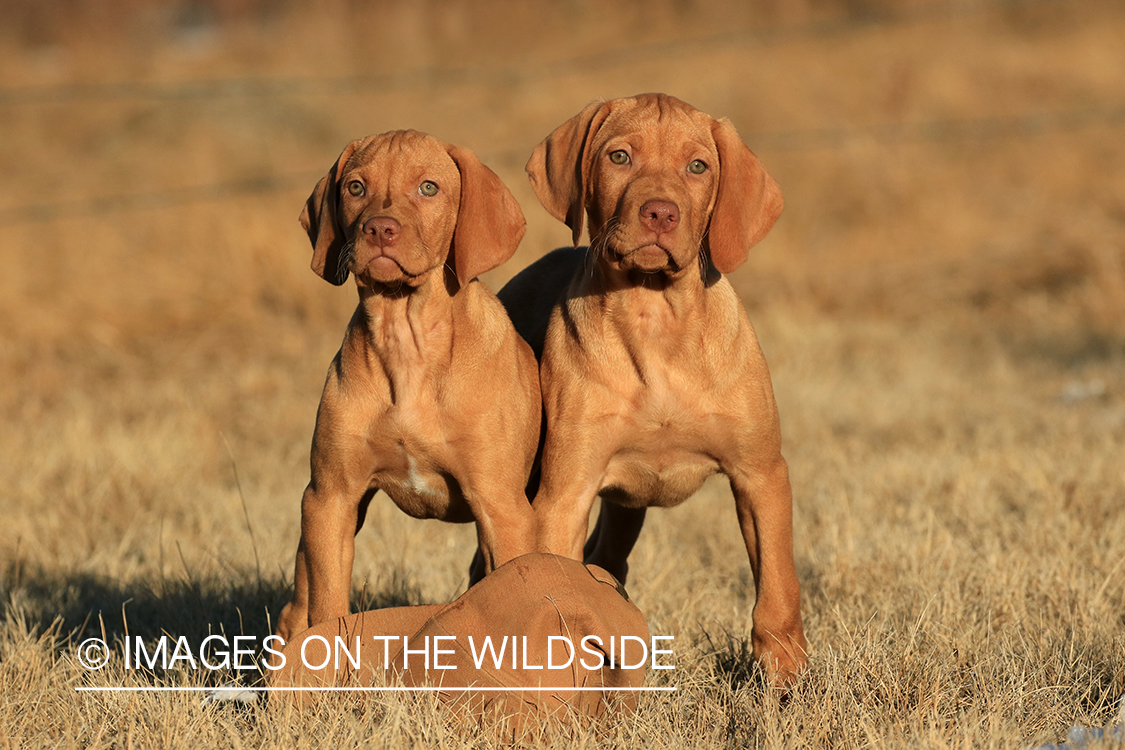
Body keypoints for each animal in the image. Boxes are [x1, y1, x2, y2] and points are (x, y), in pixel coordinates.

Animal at [275, 129, 540, 647]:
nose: (379, 229)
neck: (406, 343)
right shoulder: (331, 497)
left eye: (429, 188)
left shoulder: (503, 507)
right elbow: (328, 610)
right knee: (297, 608)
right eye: (355, 187)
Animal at [504, 92, 810, 679]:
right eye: (619, 157)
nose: (660, 213)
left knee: (607, 561)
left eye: (698, 167)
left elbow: (778, 588)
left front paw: (786, 679)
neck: (656, 319)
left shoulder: (761, 475)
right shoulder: (564, 494)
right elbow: (554, 589)